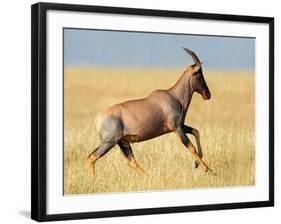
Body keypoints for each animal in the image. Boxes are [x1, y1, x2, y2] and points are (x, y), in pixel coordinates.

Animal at [86, 48, 213, 176]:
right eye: (199, 75)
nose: (207, 94)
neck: (174, 95)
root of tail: (97, 119)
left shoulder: (179, 126)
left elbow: (196, 131)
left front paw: (197, 164)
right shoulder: (177, 128)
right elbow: (191, 147)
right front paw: (209, 170)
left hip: (122, 142)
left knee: (131, 161)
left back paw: (149, 176)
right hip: (109, 142)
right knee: (92, 157)